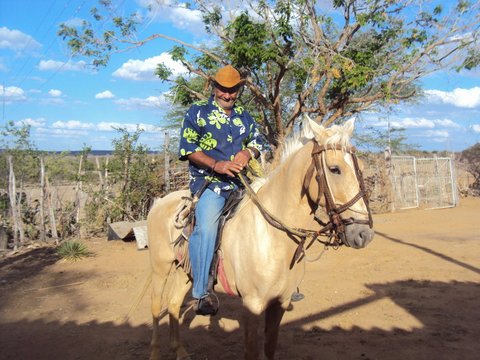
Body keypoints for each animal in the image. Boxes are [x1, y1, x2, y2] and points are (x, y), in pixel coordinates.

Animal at [148, 116, 374, 358]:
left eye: (360, 168)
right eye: (334, 169)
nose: (364, 234)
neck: (273, 238)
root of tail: (159, 203)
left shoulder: (280, 302)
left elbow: (270, 346)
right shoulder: (252, 304)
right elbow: (252, 350)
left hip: (186, 271)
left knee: (173, 304)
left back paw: (180, 351)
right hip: (160, 268)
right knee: (156, 307)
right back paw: (155, 352)